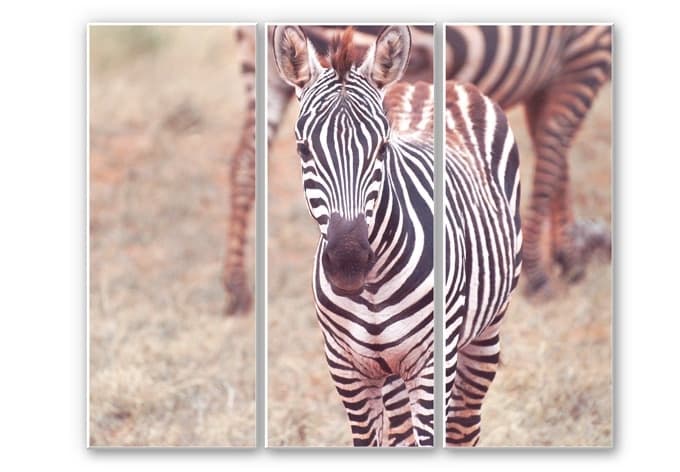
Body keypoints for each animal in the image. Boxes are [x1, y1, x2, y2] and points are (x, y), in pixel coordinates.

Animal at [223, 24, 610, 314]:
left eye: (382, 148)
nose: (348, 260)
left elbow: (556, 159)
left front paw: (567, 253)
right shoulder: (587, 54)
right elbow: (553, 150)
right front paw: (543, 269)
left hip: (264, 70)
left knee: (244, 164)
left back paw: (237, 289)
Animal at [272, 25, 522, 447]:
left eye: (382, 148)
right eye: (303, 151)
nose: (349, 262)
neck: (372, 287)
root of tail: (432, 84)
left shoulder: (433, 363)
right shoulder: (346, 367)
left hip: (486, 330)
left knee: (464, 426)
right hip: (391, 373)